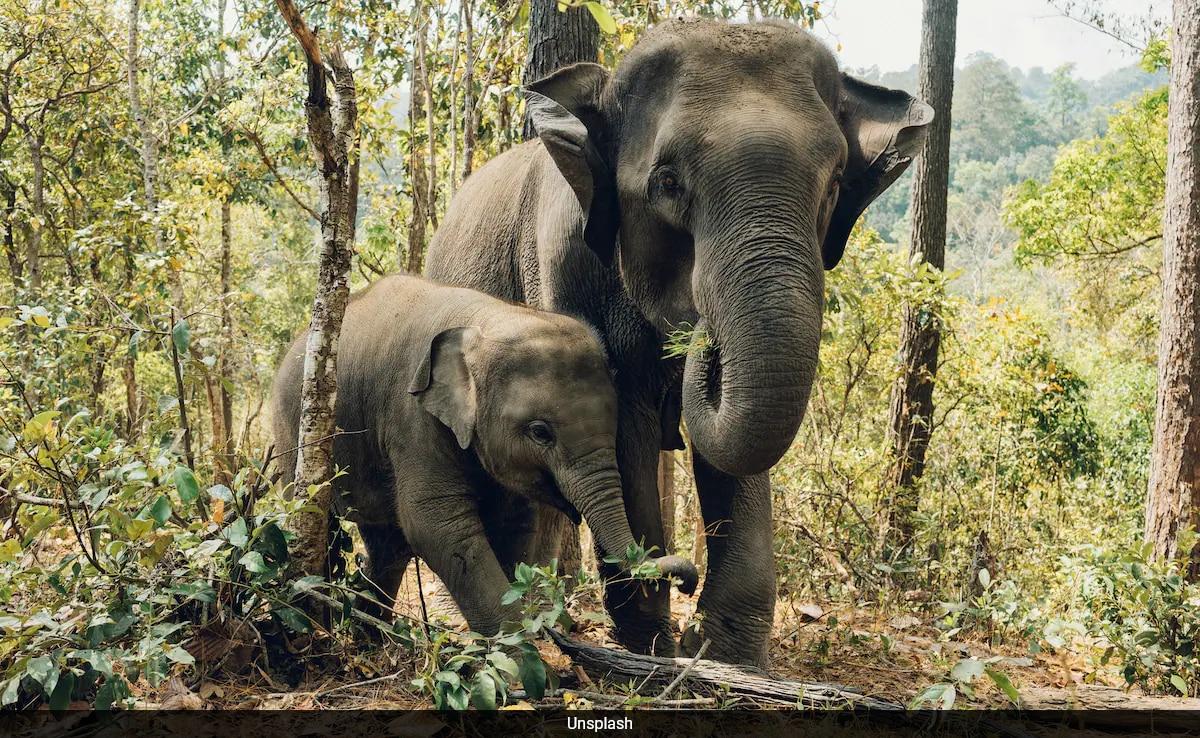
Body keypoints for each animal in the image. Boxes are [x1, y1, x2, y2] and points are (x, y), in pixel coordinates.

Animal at [271, 274, 698, 637]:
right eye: (540, 432)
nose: (687, 582)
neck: (486, 319)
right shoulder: (412, 416)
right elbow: (437, 525)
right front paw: (525, 664)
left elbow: (513, 524)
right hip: (293, 433)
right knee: (320, 521)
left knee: (387, 544)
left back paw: (371, 637)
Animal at [425, 18, 931, 665]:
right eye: (667, 183)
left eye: (836, 184)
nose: (701, 335)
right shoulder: (564, 267)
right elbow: (625, 425)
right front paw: (653, 646)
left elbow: (733, 450)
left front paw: (723, 654)